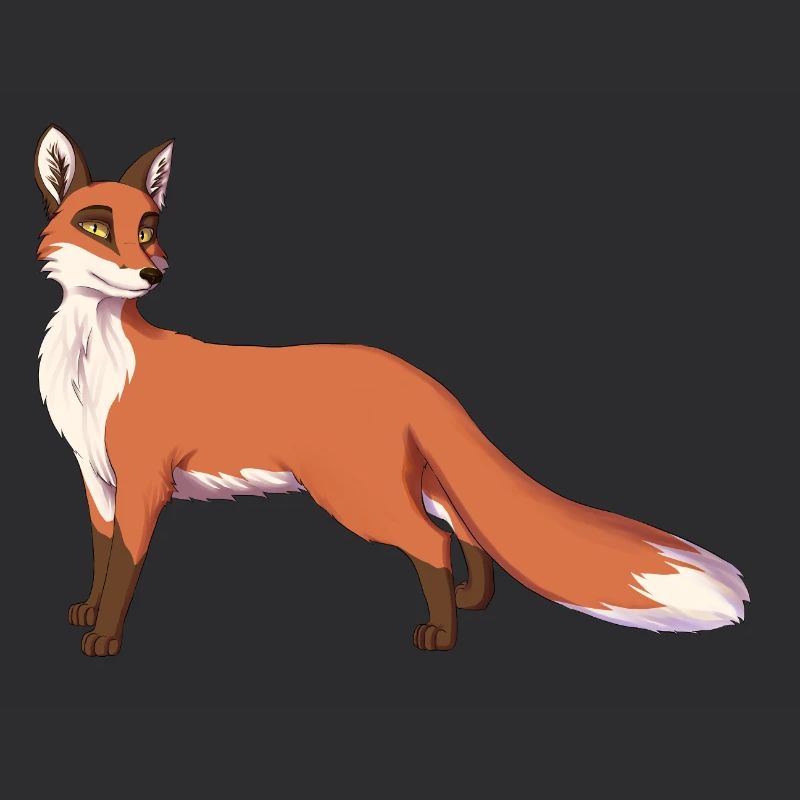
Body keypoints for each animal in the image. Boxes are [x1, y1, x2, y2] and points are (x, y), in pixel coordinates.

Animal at [34, 124, 749, 657]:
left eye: (147, 230)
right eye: (97, 227)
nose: (153, 274)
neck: (89, 374)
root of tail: (413, 371)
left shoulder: (143, 484)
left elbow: (125, 570)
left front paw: (105, 638)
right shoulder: (97, 482)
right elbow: (101, 559)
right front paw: (87, 612)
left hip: (359, 495)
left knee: (432, 542)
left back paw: (442, 634)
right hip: (416, 481)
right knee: (462, 530)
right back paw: (469, 602)